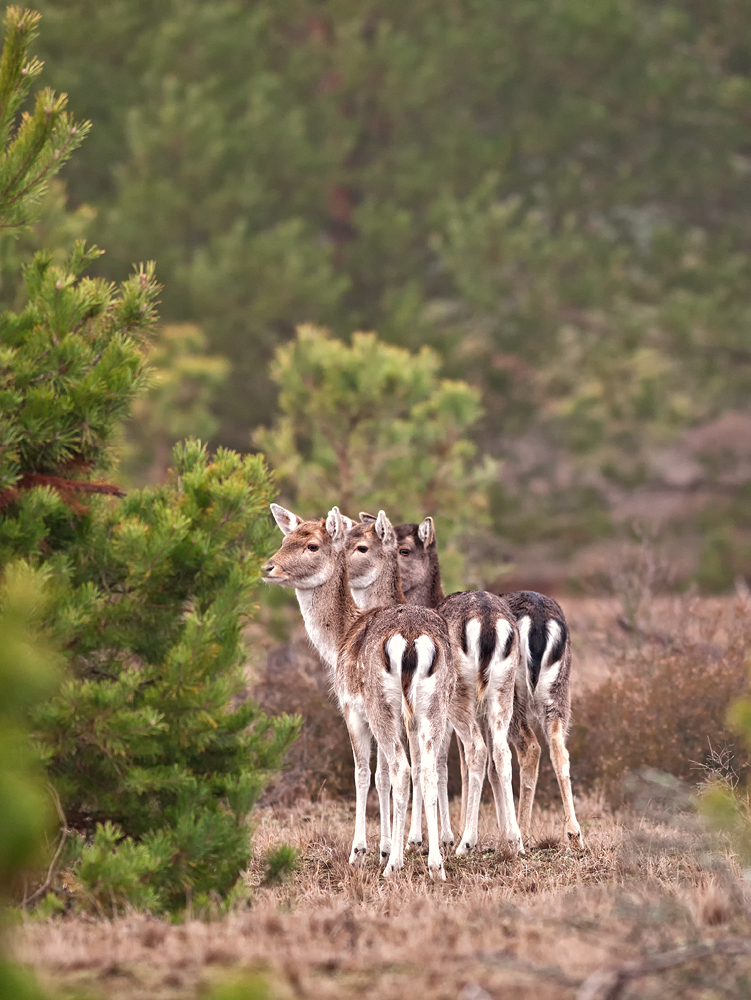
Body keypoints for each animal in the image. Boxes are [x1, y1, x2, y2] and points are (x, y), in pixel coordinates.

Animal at [260, 504, 458, 880]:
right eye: (284, 540)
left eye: (312, 545)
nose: (268, 567)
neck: (340, 636)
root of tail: (413, 638)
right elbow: (383, 775)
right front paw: (388, 847)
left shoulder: (353, 708)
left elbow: (364, 774)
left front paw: (363, 852)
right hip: (434, 703)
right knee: (427, 767)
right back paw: (436, 864)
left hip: (382, 703)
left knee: (402, 768)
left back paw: (394, 866)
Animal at [348, 512, 520, 856]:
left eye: (405, 550)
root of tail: (488, 621)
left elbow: (431, 762)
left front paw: (423, 838)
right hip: (501, 690)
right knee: (501, 752)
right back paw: (516, 840)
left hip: (458, 695)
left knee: (476, 750)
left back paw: (466, 842)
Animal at [396, 520, 584, 848]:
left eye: (403, 549)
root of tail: (538, 621)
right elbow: (493, 767)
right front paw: (499, 828)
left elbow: (458, 762)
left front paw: (457, 833)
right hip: (558, 689)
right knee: (558, 747)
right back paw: (572, 832)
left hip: (508, 692)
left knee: (527, 747)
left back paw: (524, 831)